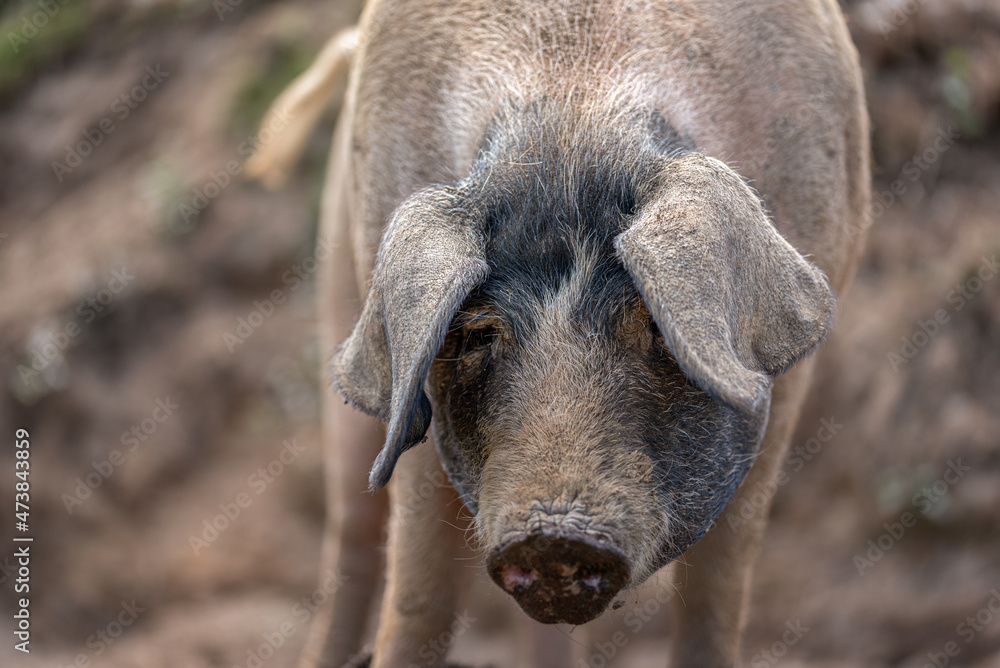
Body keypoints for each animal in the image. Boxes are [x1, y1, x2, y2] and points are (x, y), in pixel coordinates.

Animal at [246, 0, 870, 666]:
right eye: (478, 334)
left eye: (655, 320)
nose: (552, 539)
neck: (573, 116)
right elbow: (418, 601)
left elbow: (715, 598)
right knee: (354, 536)